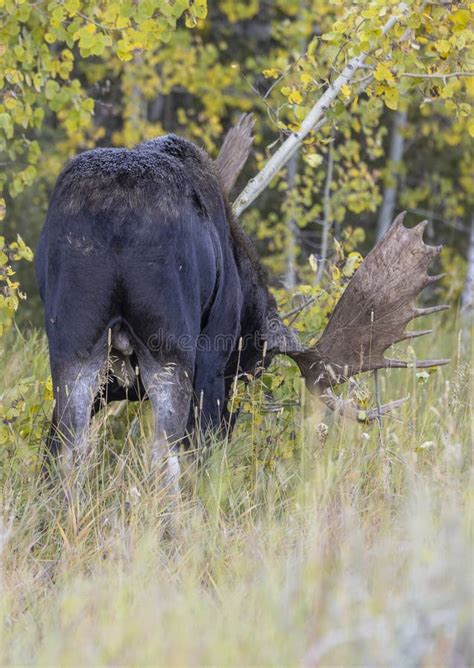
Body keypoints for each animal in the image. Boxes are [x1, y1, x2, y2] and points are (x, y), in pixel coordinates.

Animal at [36, 117, 448, 488]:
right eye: (257, 363)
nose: (232, 422)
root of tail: (118, 219)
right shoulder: (213, 359)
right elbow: (198, 449)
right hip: (170, 345)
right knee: (164, 457)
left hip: (74, 341)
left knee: (67, 450)